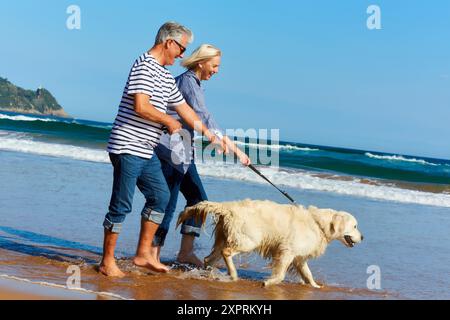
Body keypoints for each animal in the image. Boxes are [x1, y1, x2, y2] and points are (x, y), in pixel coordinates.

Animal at [178, 200, 364, 288]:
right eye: (355, 226)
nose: (362, 237)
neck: (319, 224)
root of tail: (229, 208)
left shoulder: (299, 257)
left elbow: (308, 273)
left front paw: (315, 286)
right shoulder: (287, 251)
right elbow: (280, 274)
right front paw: (268, 282)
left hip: (225, 237)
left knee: (209, 258)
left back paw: (210, 273)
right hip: (248, 240)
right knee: (226, 252)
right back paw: (233, 274)